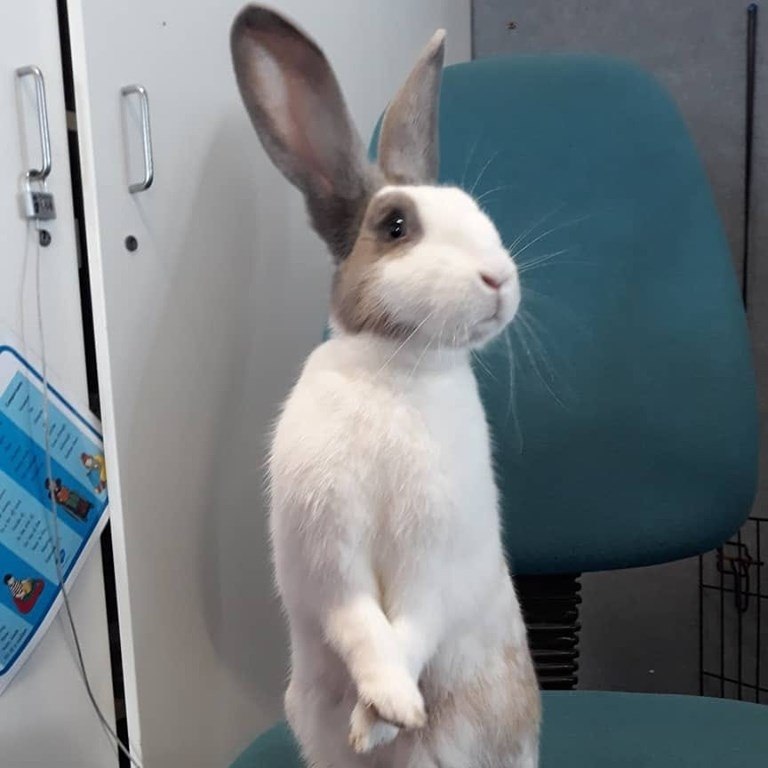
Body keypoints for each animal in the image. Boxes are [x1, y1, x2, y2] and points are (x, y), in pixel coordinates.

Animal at [231, 6, 540, 768]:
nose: (500, 278)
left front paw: (383, 717)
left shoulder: (436, 560)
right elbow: (361, 627)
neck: (397, 368)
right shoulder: (327, 556)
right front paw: (391, 707)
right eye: (396, 226)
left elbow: (412, 626)